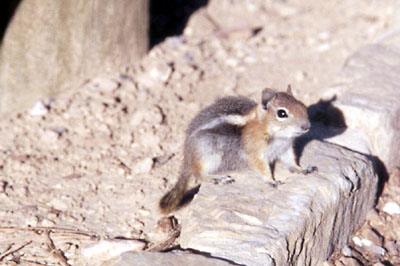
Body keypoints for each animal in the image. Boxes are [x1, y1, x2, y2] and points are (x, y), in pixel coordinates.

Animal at [158, 86, 318, 213]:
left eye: (303, 105)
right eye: (282, 113)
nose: (307, 126)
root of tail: (187, 156)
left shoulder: (285, 149)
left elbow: (291, 161)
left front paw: (302, 168)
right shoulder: (255, 153)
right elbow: (263, 168)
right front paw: (272, 180)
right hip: (208, 154)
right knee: (198, 173)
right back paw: (218, 178)